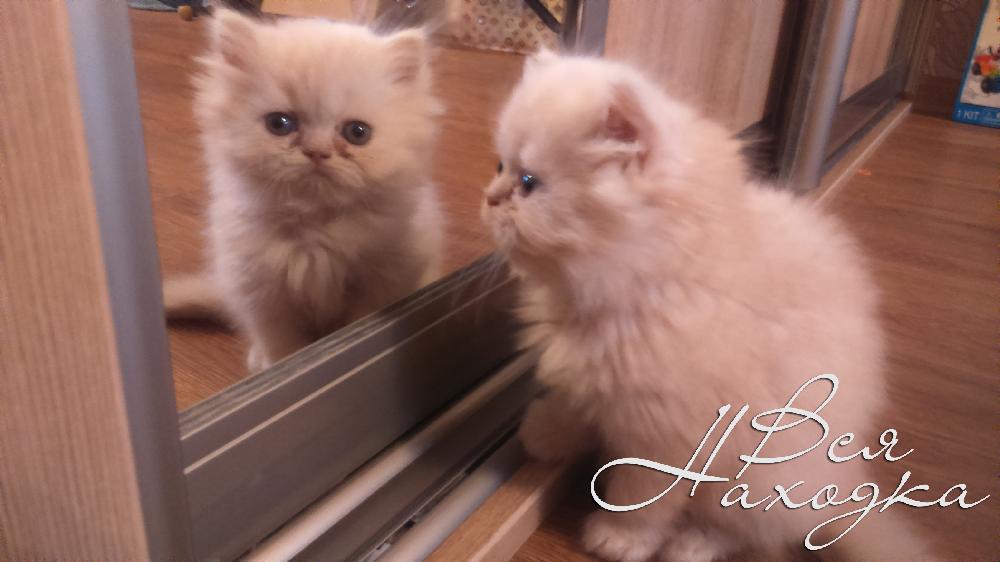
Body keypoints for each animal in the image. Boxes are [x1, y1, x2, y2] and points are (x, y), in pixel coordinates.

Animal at [164, 9, 444, 372]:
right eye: (279, 124)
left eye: (357, 132)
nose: (317, 152)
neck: (315, 227)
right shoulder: (262, 293)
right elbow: (284, 349)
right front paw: (279, 366)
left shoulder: (381, 283)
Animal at [482, 51, 933, 561]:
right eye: (499, 165)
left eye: (529, 183)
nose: (490, 198)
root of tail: (841, 485)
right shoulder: (597, 378)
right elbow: (575, 409)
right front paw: (545, 433)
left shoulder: (671, 432)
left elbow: (642, 494)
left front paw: (620, 537)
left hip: (763, 470)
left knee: (744, 526)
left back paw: (691, 543)